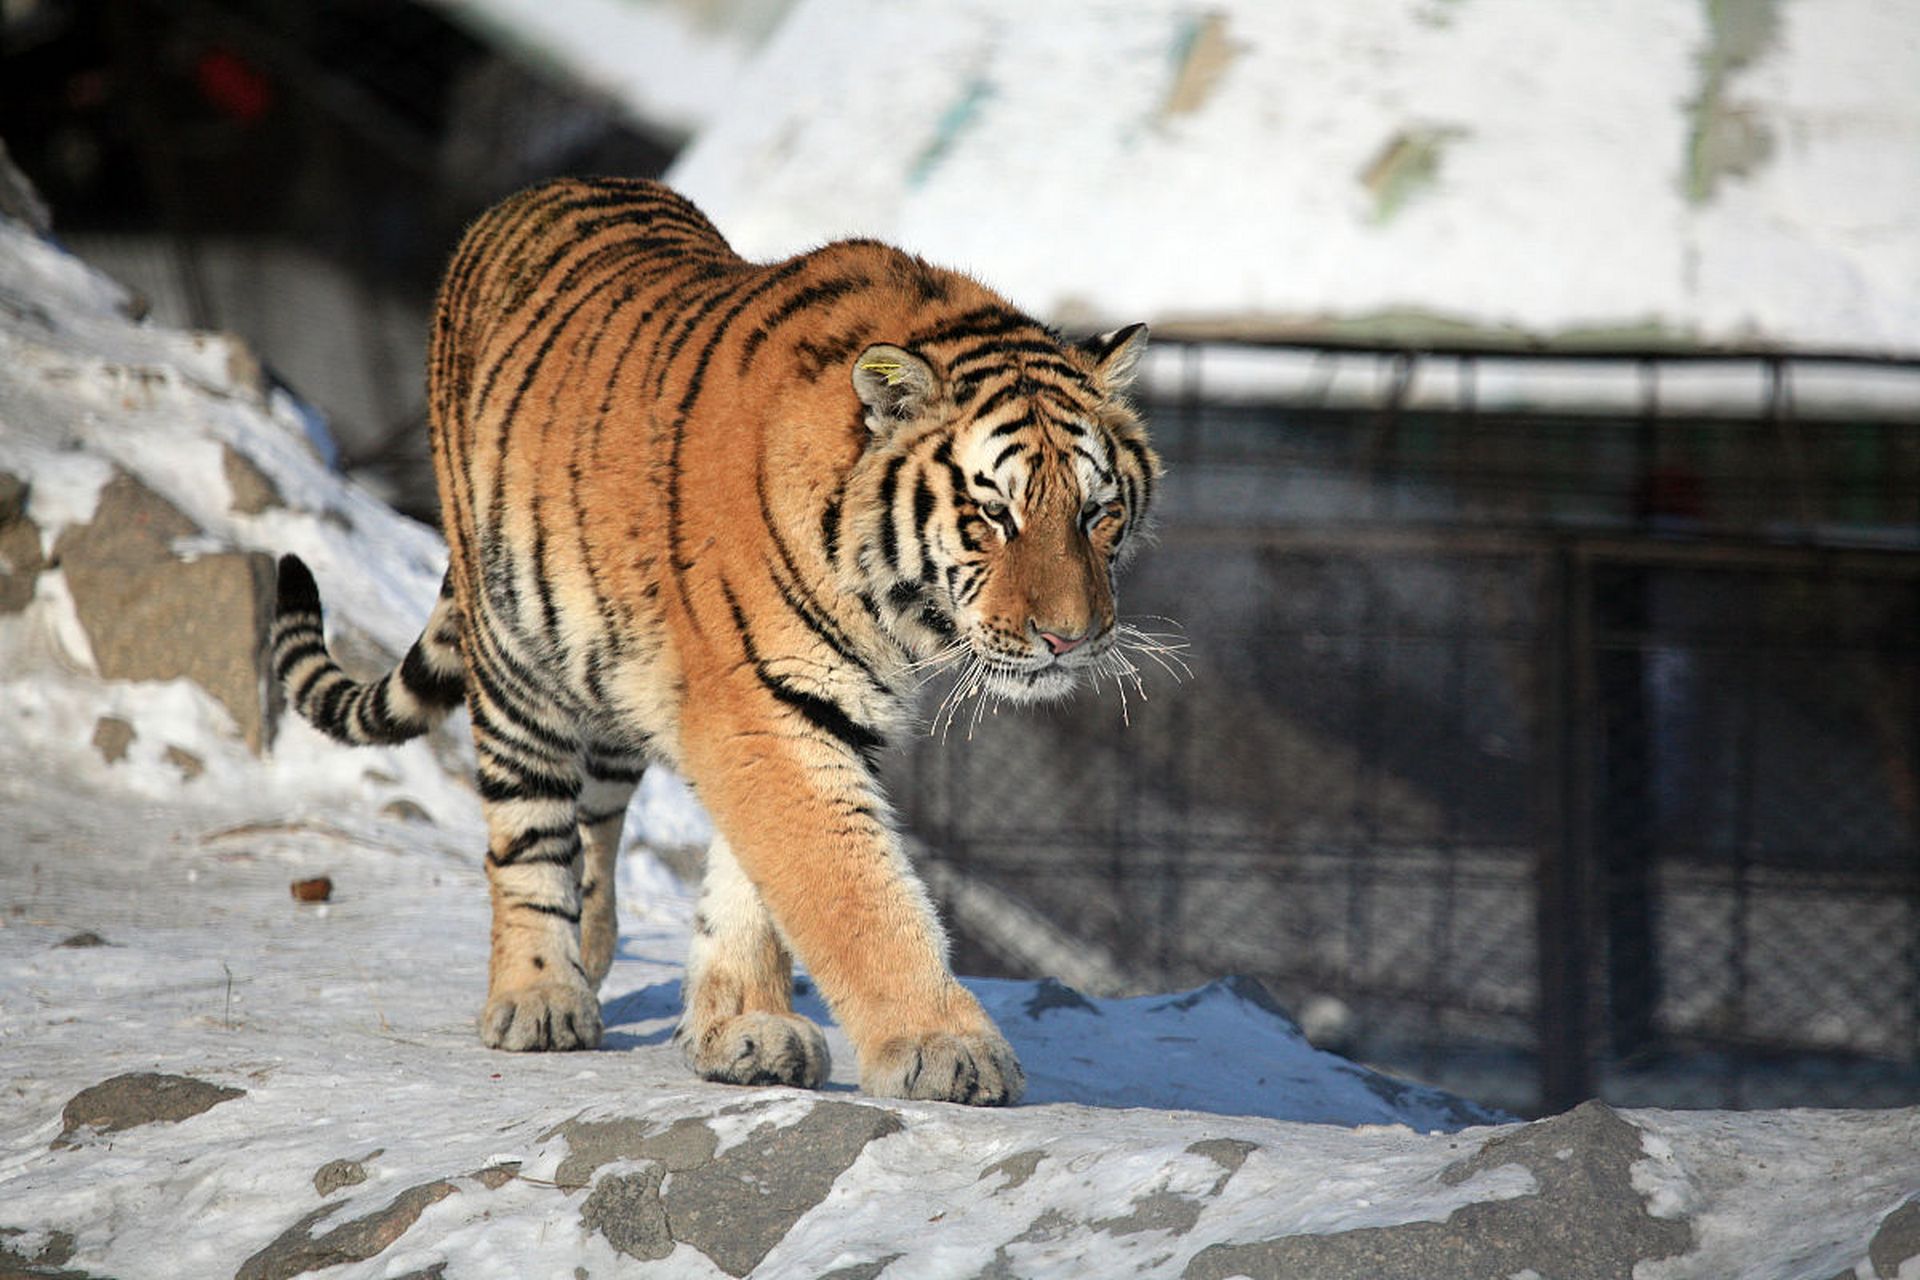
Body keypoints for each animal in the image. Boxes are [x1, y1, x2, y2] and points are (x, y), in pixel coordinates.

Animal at [272, 175, 1159, 1105]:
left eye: (1098, 514)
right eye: (993, 516)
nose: (1070, 639)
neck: (887, 605)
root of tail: (536, 192)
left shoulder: (806, 712)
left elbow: (754, 886)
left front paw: (743, 1028)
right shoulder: (764, 710)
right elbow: (854, 893)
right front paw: (944, 1047)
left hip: (611, 677)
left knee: (596, 822)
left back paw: (590, 954)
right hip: (516, 657)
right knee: (526, 834)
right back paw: (540, 996)